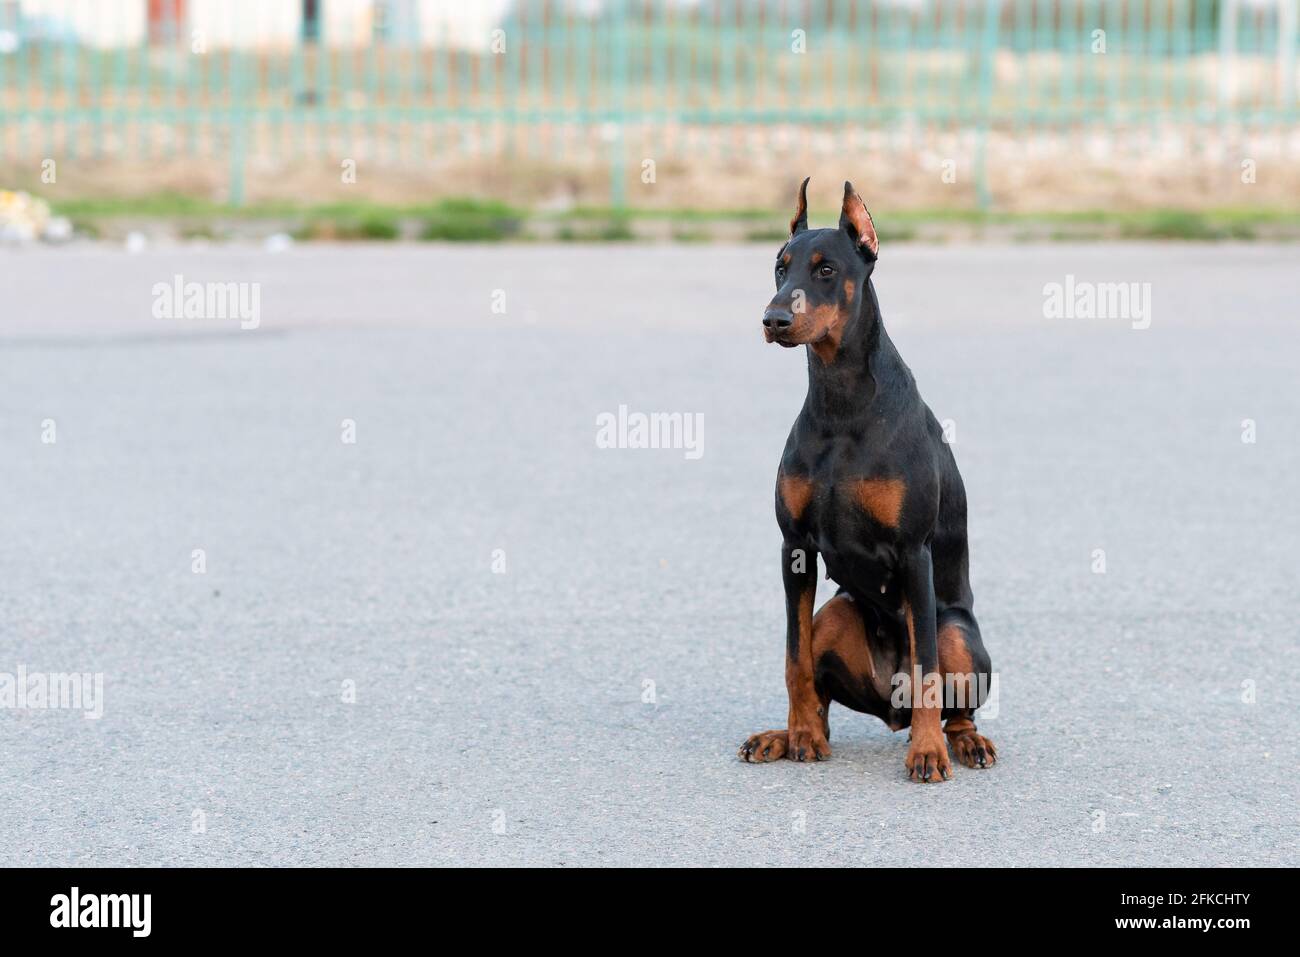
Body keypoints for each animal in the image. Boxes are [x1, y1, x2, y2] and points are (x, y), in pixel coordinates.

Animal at [743, 179, 993, 785]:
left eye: (827, 270)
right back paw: (786, 734)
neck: (843, 404)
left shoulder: (913, 552)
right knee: (820, 680)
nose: (773, 319)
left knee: (953, 696)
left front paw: (927, 753)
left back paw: (961, 741)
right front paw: (801, 737)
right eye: (780, 268)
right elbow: (793, 658)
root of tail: (889, 706)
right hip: (835, 613)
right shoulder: (795, 547)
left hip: (957, 628)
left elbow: (927, 667)